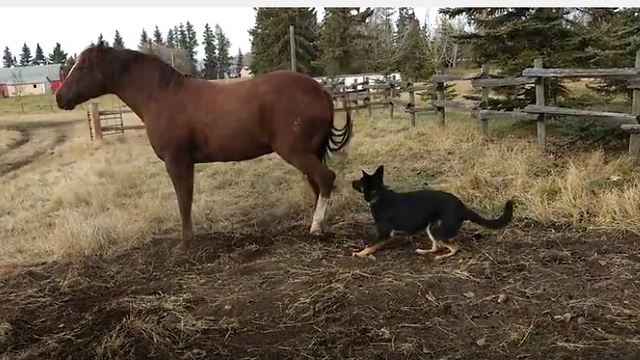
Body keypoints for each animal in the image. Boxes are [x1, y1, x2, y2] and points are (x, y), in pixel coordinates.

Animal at [55, 42, 352, 245]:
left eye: (82, 67)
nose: (60, 97)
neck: (160, 95)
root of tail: (321, 90)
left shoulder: (177, 161)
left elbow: (183, 199)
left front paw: (186, 241)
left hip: (297, 152)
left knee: (326, 179)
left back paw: (315, 227)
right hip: (310, 152)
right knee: (318, 185)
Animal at [350, 165, 516, 260]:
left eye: (359, 181)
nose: (350, 182)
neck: (378, 195)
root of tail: (462, 206)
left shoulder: (385, 233)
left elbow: (370, 245)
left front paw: (360, 253)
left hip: (438, 231)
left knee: (455, 247)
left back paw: (442, 257)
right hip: (431, 228)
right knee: (437, 247)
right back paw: (424, 251)